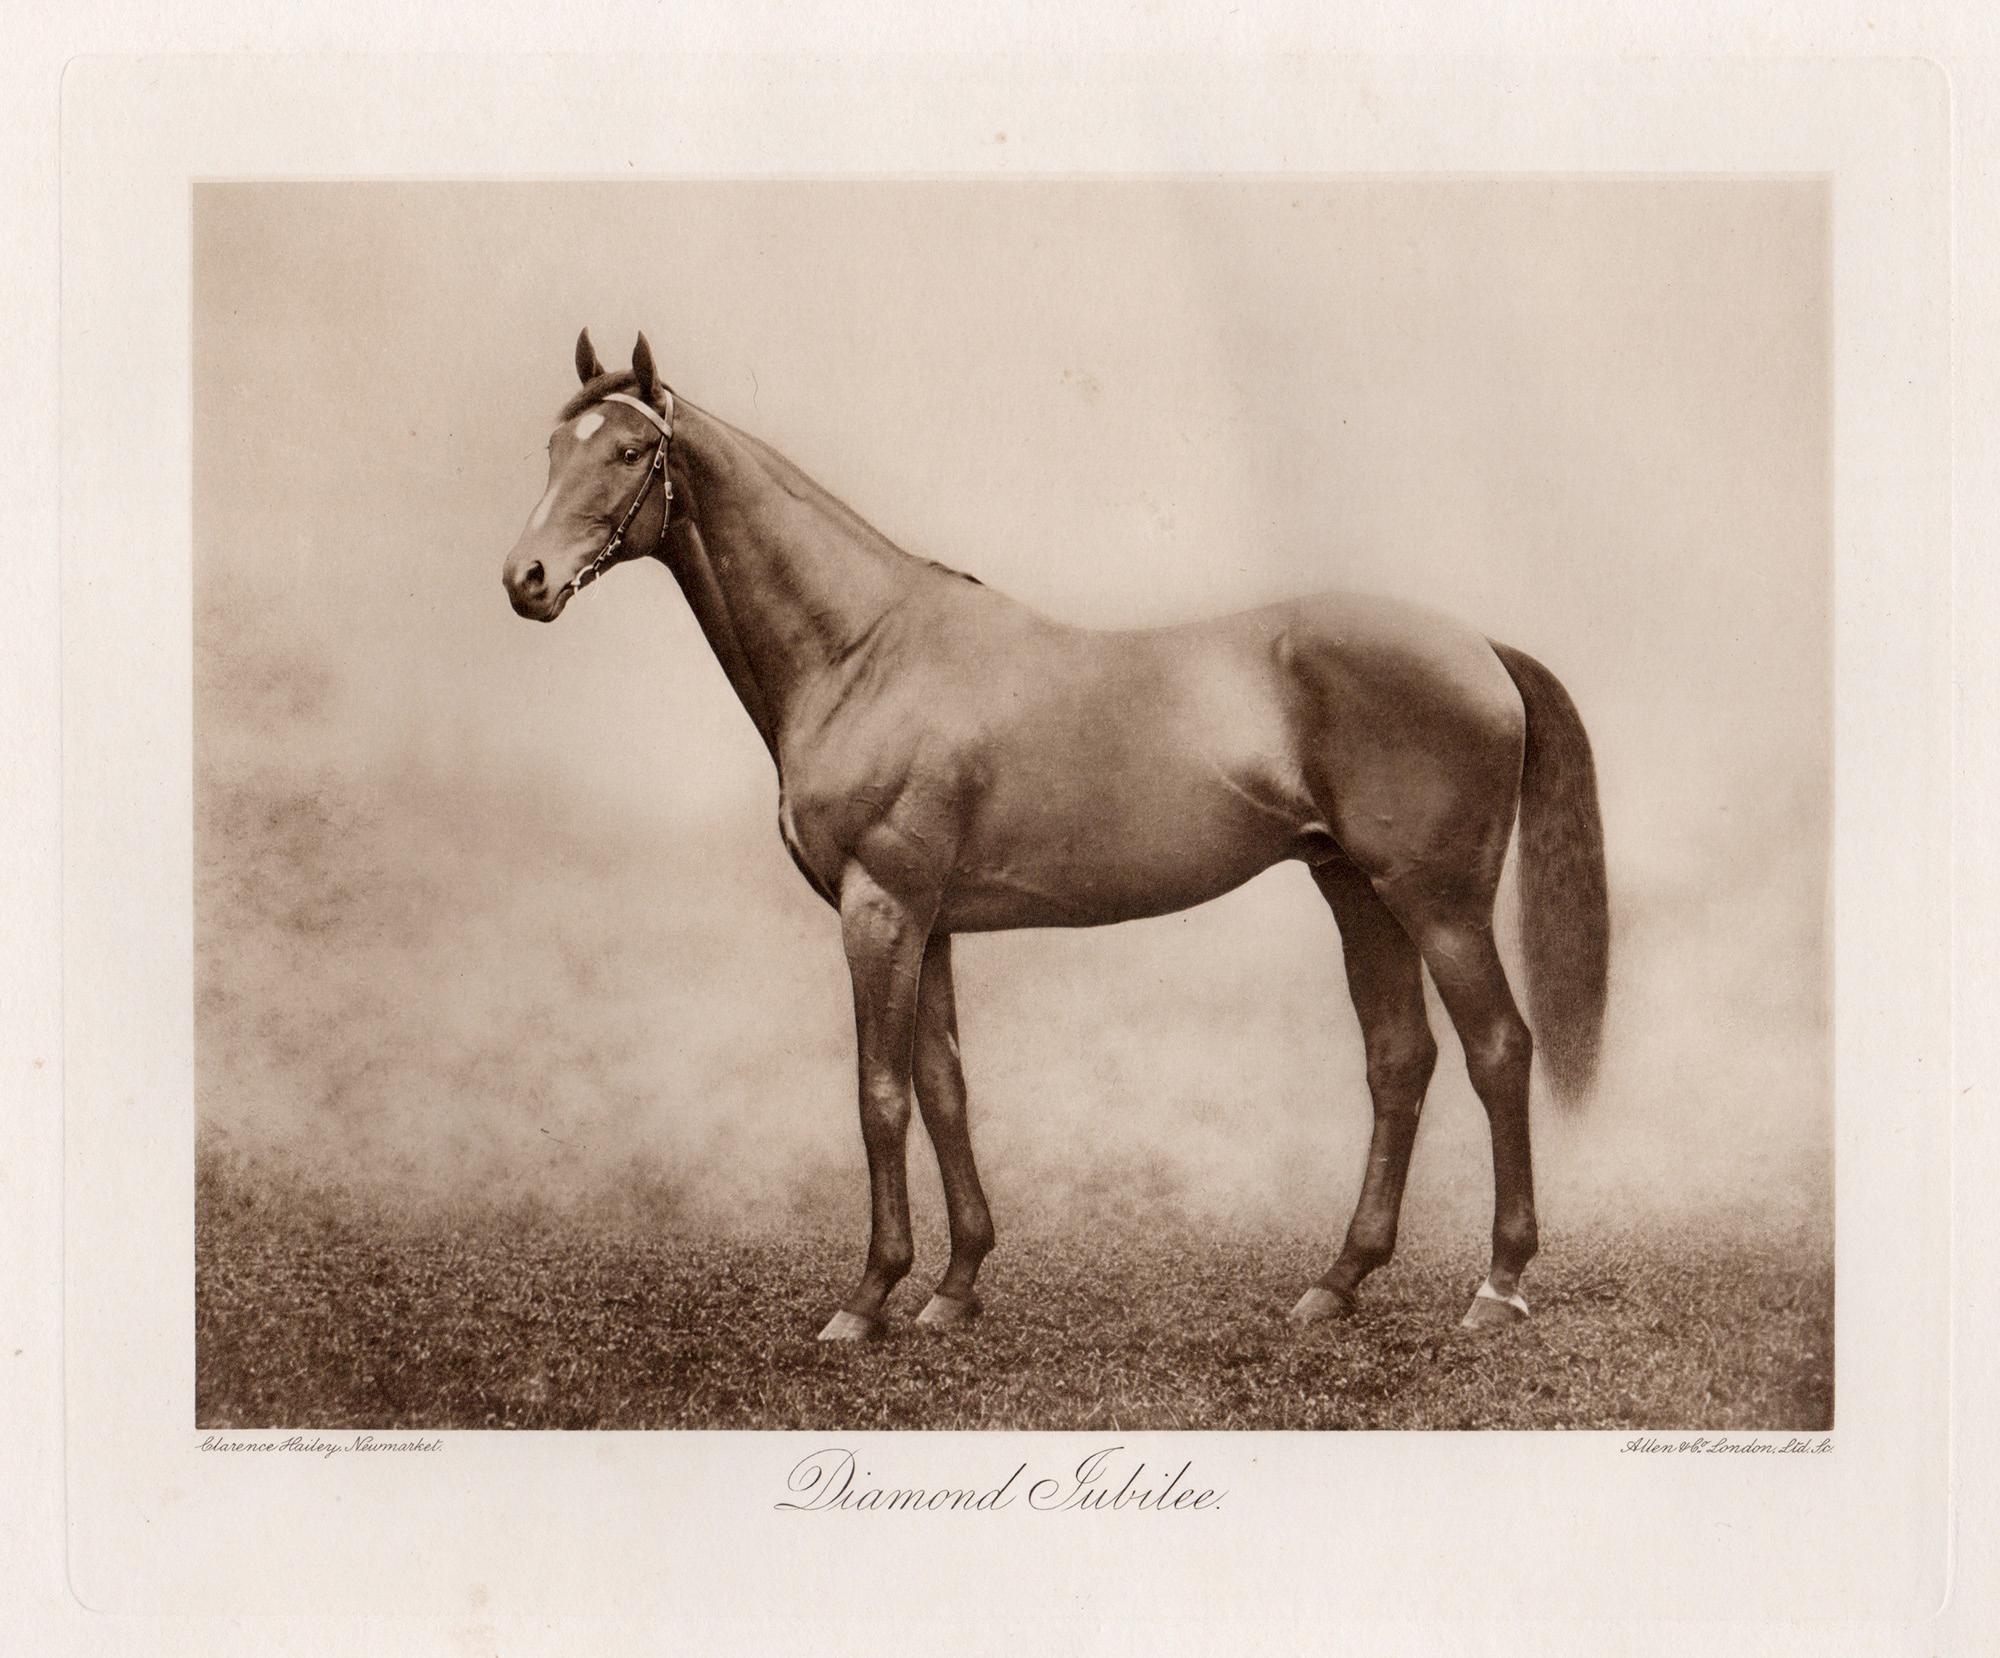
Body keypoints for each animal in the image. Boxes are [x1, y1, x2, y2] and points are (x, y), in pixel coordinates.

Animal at [501, 329, 1609, 1341]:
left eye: (629, 452)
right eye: (553, 447)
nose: (526, 579)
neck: (864, 652)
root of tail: (1479, 647)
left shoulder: (878, 908)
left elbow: (878, 1095)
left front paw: (867, 1298)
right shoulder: (928, 922)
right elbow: (944, 1086)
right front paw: (954, 1287)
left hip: (1437, 901)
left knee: (1498, 1049)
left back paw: (1497, 1285)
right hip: (1356, 890)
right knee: (1399, 1060)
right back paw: (1336, 1281)